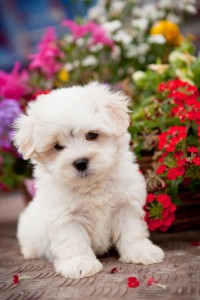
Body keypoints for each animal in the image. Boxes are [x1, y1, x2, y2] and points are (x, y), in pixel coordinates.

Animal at [13, 81, 164, 278]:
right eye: (57, 146)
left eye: (92, 135)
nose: (80, 162)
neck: (92, 185)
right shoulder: (65, 216)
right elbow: (73, 240)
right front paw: (79, 264)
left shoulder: (125, 204)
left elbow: (132, 230)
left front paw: (141, 252)